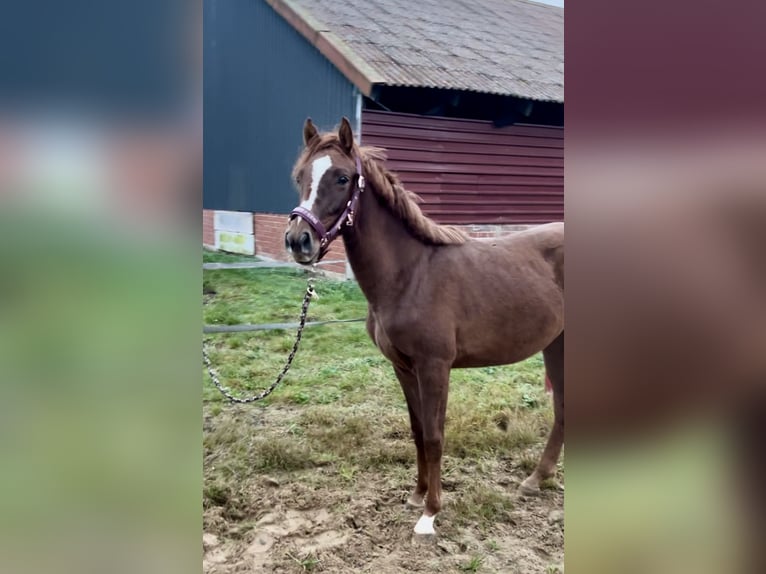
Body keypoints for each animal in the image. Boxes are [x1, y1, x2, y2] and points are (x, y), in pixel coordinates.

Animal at [284, 118, 568, 540]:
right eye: (300, 176)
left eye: (342, 178)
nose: (298, 240)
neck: (410, 274)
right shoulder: (404, 367)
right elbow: (418, 431)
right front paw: (416, 496)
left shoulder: (435, 366)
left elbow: (434, 436)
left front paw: (430, 513)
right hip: (557, 345)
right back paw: (536, 479)